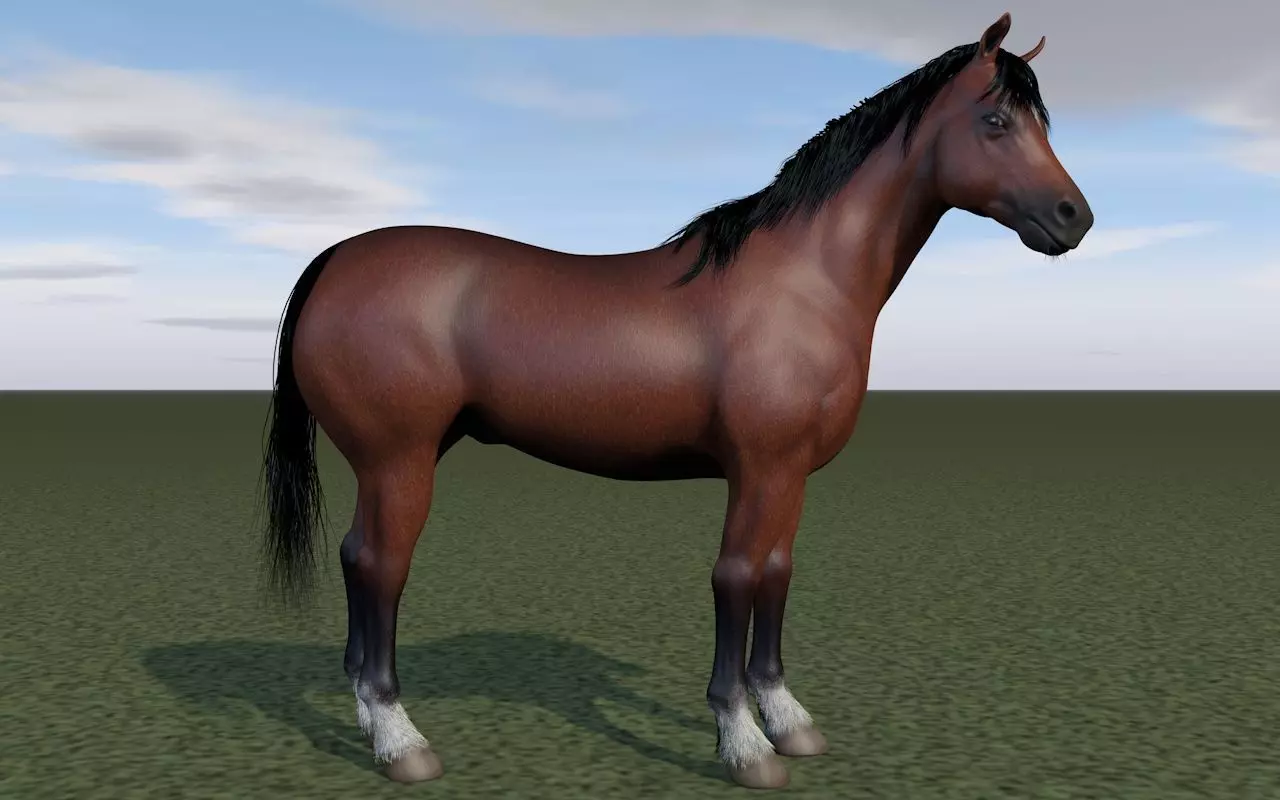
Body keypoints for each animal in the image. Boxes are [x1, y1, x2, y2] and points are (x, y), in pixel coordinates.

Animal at [259, 12, 1092, 790]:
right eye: (996, 121)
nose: (1073, 218)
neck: (801, 283)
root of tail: (337, 257)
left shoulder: (790, 475)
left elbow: (777, 574)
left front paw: (789, 720)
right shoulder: (759, 468)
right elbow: (736, 578)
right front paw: (744, 744)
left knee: (356, 559)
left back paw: (368, 716)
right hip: (398, 460)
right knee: (381, 565)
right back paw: (401, 741)